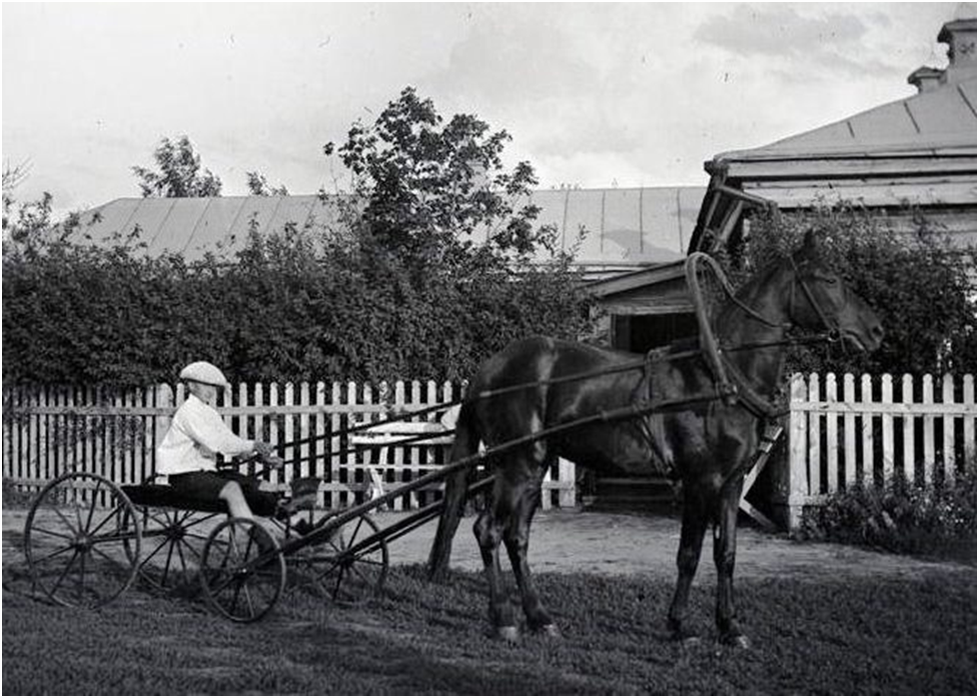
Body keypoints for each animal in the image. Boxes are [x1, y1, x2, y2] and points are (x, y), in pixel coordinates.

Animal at [432, 231, 884, 644]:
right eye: (829, 279)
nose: (876, 331)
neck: (720, 375)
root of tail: (488, 372)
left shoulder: (731, 484)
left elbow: (726, 553)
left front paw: (730, 626)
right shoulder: (701, 481)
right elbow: (689, 554)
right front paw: (680, 625)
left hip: (532, 466)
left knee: (516, 537)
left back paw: (540, 617)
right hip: (517, 466)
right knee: (489, 531)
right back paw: (504, 619)